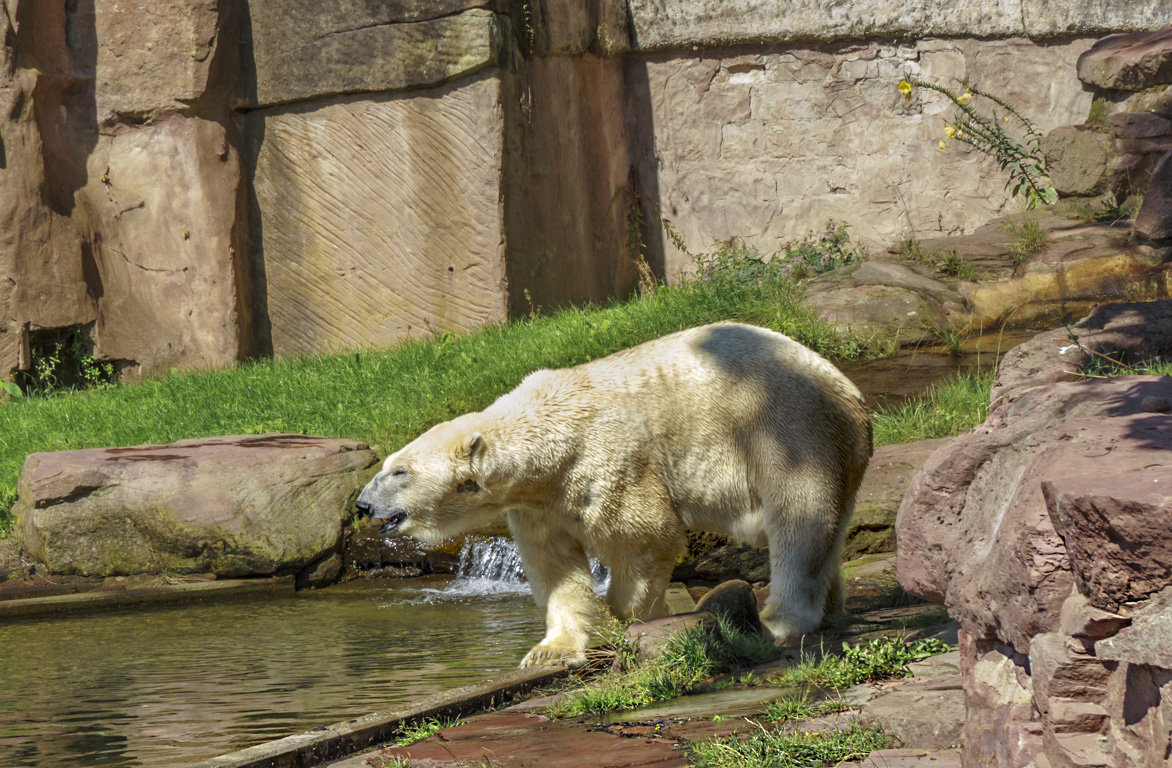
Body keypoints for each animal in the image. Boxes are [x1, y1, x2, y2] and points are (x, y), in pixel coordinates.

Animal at [353, 321, 871, 670]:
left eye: (399, 471)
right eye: (385, 465)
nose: (361, 504)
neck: (548, 436)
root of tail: (846, 386)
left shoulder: (606, 460)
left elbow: (644, 535)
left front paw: (644, 618)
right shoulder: (537, 504)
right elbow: (554, 565)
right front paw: (549, 651)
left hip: (786, 428)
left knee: (798, 518)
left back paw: (780, 619)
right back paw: (832, 608)